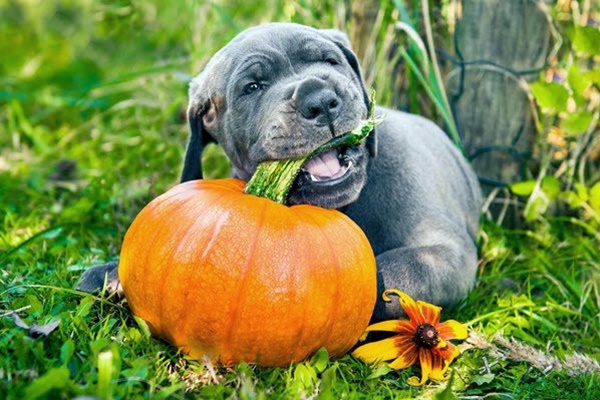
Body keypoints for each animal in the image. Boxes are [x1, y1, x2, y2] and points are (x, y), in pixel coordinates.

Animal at [79, 22, 482, 322]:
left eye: (330, 61)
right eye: (252, 87)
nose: (320, 99)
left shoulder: (448, 253)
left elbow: (391, 270)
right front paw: (111, 274)